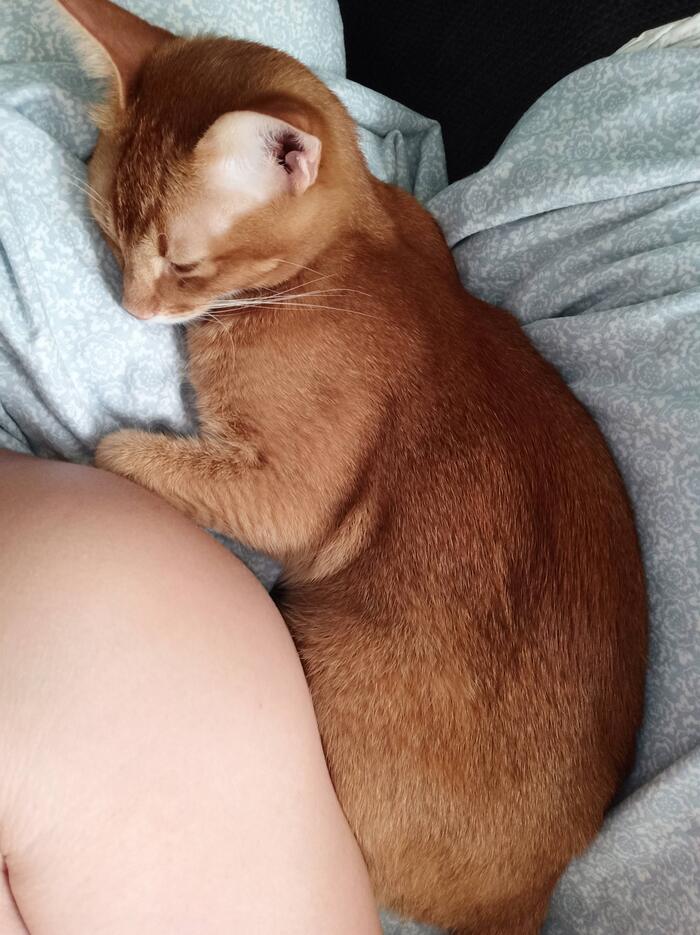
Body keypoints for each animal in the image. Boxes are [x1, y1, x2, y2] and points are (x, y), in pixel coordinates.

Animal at [57, 1, 647, 932]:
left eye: (180, 261)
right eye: (111, 238)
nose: (131, 306)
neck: (356, 250)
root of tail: (529, 897)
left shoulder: (286, 494)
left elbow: (123, 447)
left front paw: (105, 446)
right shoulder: (422, 223)